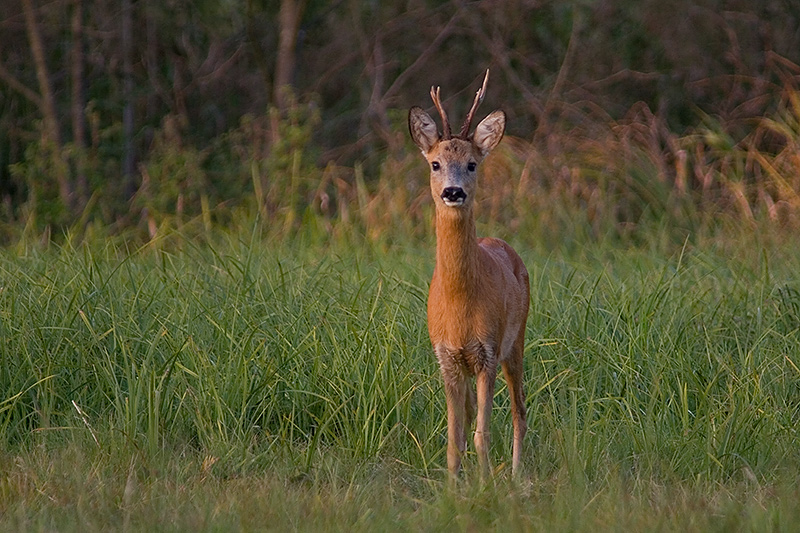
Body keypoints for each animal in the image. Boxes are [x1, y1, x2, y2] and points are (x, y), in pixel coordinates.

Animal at [406, 68, 532, 480]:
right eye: (435, 164)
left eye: (473, 164)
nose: (453, 192)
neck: (460, 301)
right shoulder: (445, 356)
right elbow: (454, 437)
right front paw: (454, 484)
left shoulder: (487, 351)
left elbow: (480, 434)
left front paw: (485, 484)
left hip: (517, 338)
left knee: (519, 410)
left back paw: (516, 475)